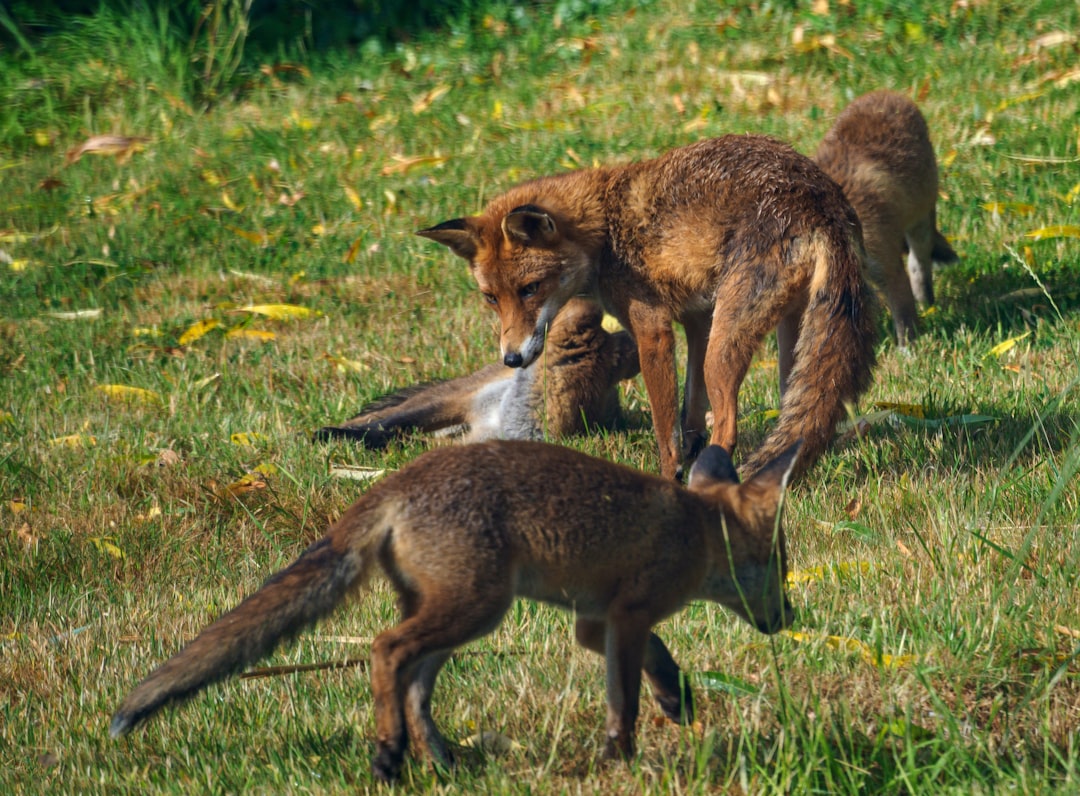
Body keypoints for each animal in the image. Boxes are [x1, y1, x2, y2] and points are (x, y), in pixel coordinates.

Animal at [111, 440, 803, 781]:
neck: (697, 529)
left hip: (457, 614)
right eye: (776, 562)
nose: (789, 618)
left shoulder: (596, 622)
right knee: (385, 650)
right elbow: (623, 701)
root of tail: (394, 483)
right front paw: (624, 758)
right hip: (476, 609)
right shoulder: (628, 616)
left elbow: (657, 663)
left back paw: (442, 762)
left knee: (415, 687)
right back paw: (389, 755)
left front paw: (676, 699)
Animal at [317, 298, 639, 447]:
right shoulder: (462, 404)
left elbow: (402, 439)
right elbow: (387, 425)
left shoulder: (473, 438)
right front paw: (337, 435)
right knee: (380, 415)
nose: (512, 357)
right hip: (454, 393)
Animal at [414, 134, 876, 481]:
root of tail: (820, 200)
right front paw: (689, 453)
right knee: (797, 418)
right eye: (491, 298)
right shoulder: (697, 320)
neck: (604, 230)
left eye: (530, 289)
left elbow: (663, 425)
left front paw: (670, 474)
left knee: (729, 425)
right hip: (790, 337)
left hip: (727, 345)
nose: (511, 359)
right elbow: (690, 412)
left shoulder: (653, 329)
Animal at [812, 89, 959, 345]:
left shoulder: (884, 263)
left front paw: (909, 349)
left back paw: (927, 303)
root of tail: (889, 93)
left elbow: (904, 313)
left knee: (918, 264)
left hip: (920, 224)